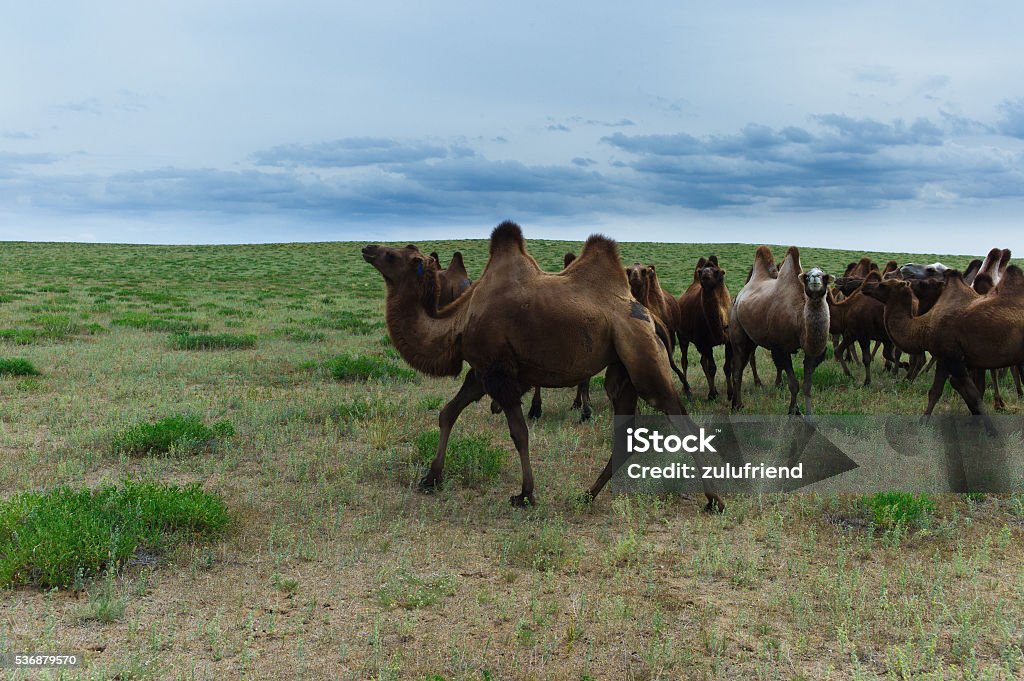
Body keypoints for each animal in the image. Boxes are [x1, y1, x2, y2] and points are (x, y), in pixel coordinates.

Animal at [364, 223, 724, 509]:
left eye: (393, 256)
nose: (368, 248)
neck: (458, 321)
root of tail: (650, 316)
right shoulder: (482, 370)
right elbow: (448, 412)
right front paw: (431, 477)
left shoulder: (499, 372)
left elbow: (519, 433)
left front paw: (525, 494)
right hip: (621, 370)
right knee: (627, 431)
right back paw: (588, 494)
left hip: (642, 356)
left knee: (678, 419)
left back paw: (714, 500)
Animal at [675, 258, 733, 401]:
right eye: (701, 271)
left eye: (718, 272)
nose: (705, 273)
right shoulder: (705, 343)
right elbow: (712, 368)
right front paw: (711, 395)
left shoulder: (729, 340)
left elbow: (727, 367)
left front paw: (730, 393)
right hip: (682, 336)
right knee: (685, 360)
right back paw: (686, 389)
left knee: (702, 361)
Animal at [729, 245, 831, 413]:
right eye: (807, 276)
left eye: (825, 277)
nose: (815, 279)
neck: (798, 318)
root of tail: (737, 297)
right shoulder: (781, 348)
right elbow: (793, 384)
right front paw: (793, 412)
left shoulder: (812, 352)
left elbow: (807, 386)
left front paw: (807, 414)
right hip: (737, 333)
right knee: (737, 370)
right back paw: (737, 406)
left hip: (752, 338)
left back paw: (736, 403)